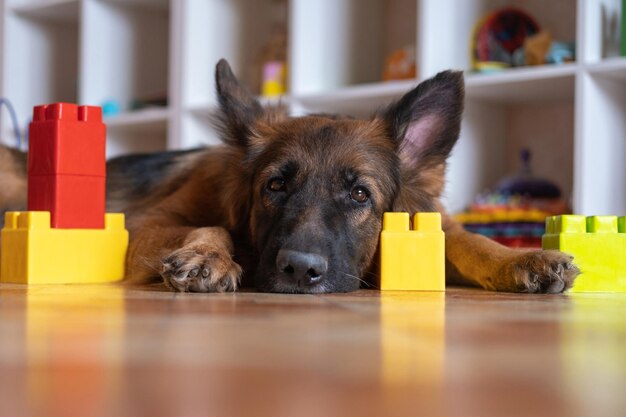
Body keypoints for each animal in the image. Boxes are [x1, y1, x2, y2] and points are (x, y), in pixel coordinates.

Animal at [0, 60, 576, 294]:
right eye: (274, 186)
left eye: (360, 194)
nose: (300, 271)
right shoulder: (149, 223)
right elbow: (210, 226)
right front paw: (207, 256)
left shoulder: (433, 224)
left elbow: (472, 243)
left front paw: (524, 258)